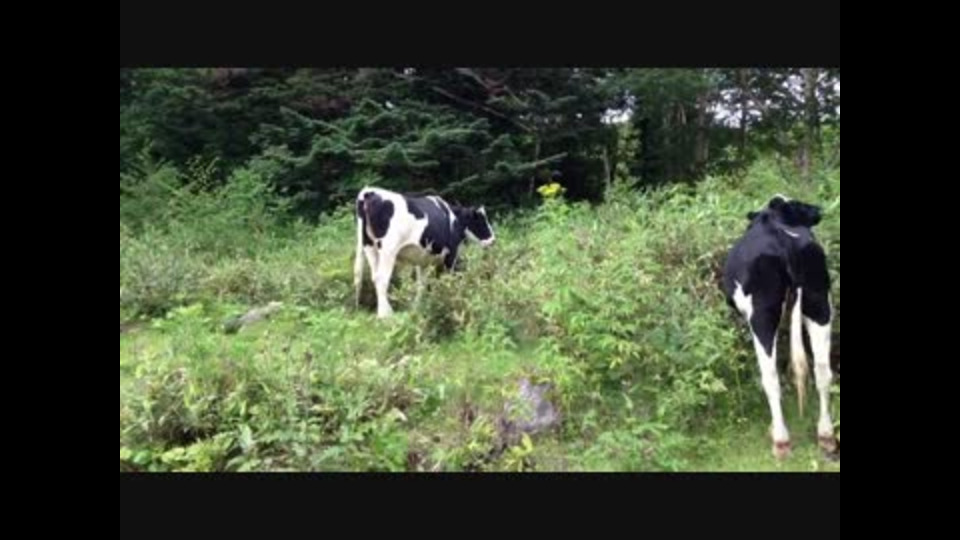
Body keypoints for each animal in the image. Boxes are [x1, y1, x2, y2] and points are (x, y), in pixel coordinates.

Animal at [353, 186, 496, 318]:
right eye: (481, 220)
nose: (493, 240)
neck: (453, 218)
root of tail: (370, 192)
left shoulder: (422, 260)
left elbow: (421, 283)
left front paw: (418, 307)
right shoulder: (452, 254)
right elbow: (454, 278)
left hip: (369, 246)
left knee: (366, 276)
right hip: (388, 249)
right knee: (382, 278)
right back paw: (385, 314)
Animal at [721, 194, 837, 460]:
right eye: (802, 206)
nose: (818, 211)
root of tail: (784, 241)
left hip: (762, 316)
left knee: (770, 377)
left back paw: (780, 440)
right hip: (819, 305)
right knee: (823, 370)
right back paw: (826, 436)